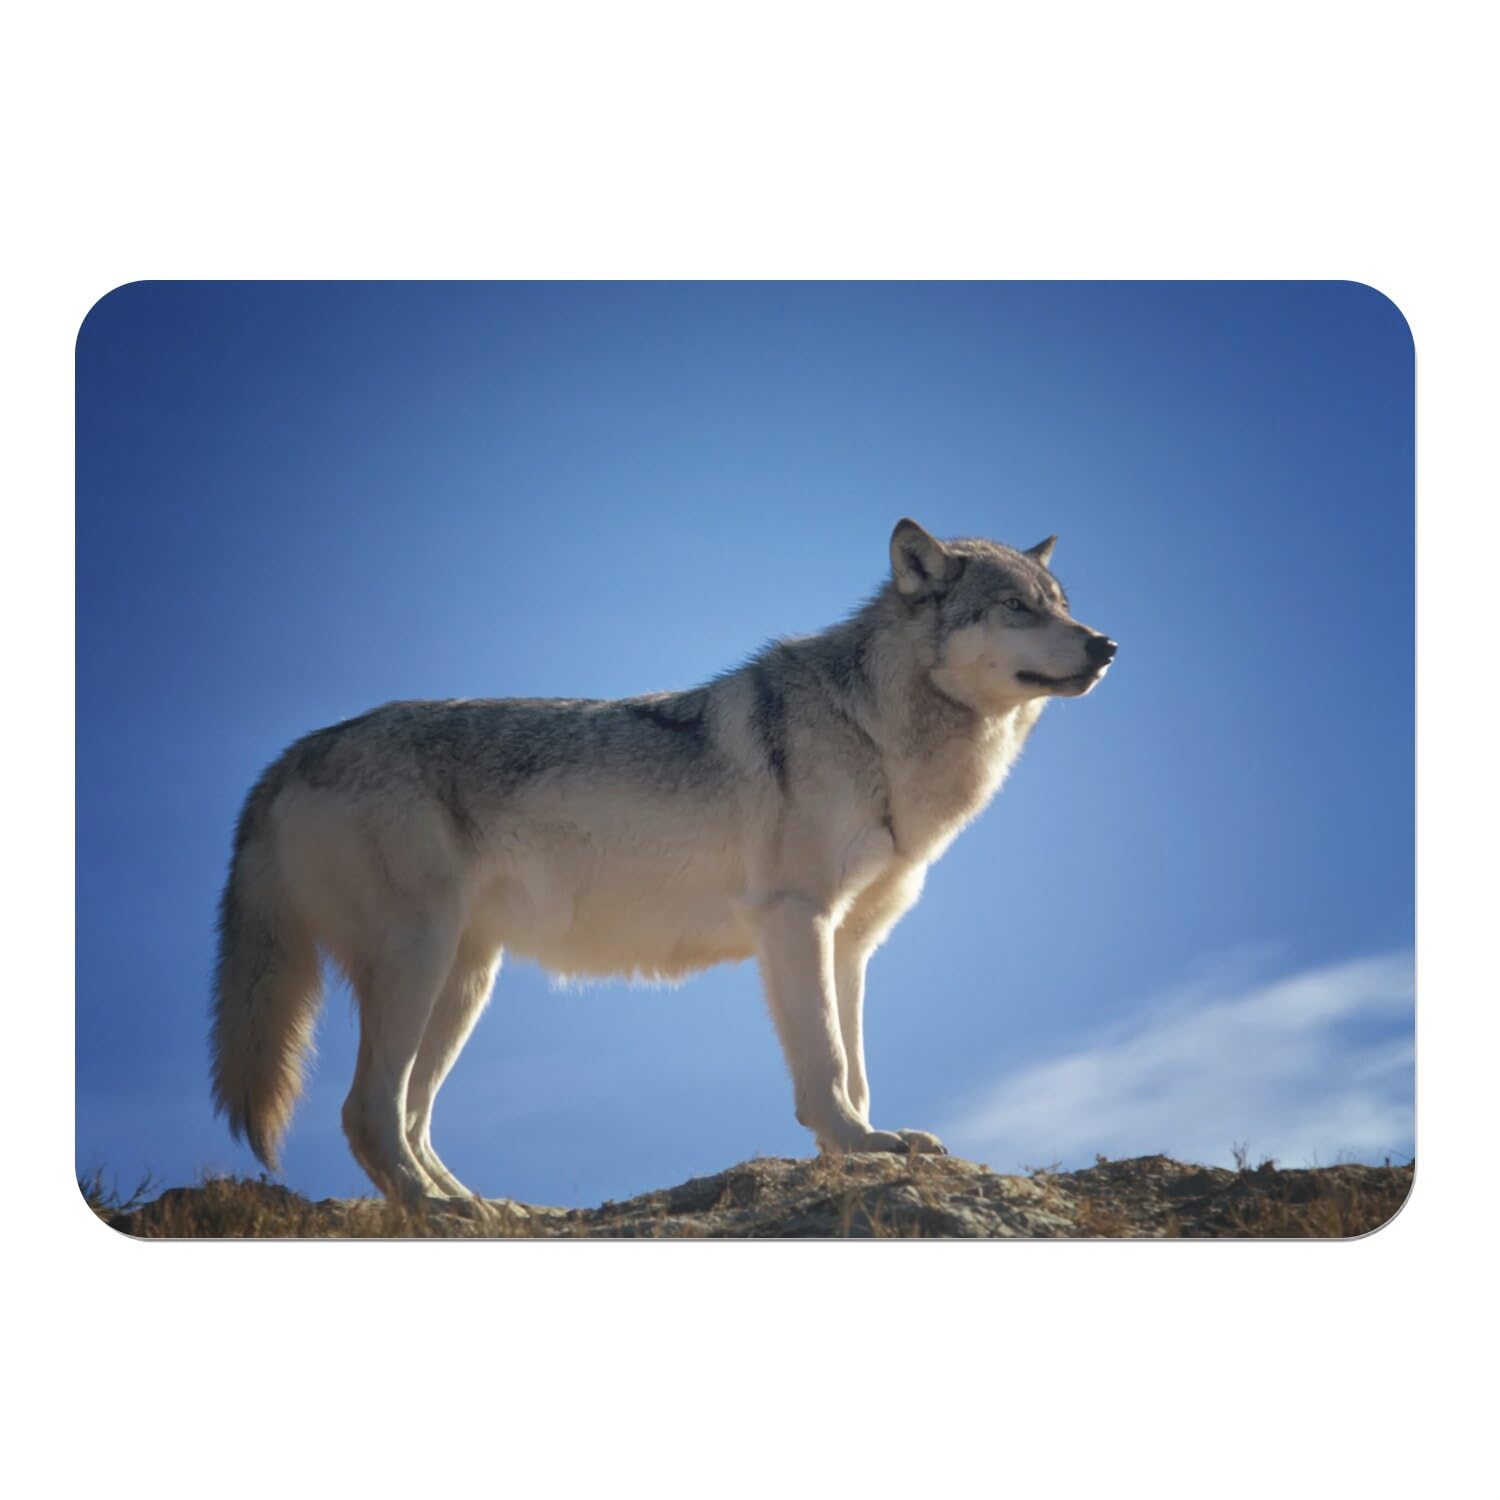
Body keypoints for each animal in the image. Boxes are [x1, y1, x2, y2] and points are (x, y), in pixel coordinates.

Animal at [211, 519, 1116, 1205]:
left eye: (1061, 606)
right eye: (1015, 609)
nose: (1106, 645)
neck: (876, 731)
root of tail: (289, 756)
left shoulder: (852, 943)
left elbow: (856, 1066)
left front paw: (862, 1146)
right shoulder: (796, 921)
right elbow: (825, 1064)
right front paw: (857, 1147)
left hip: (465, 983)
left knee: (408, 1116)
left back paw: (481, 1207)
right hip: (418, 963)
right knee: (367, 1112)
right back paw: (437, 1212)